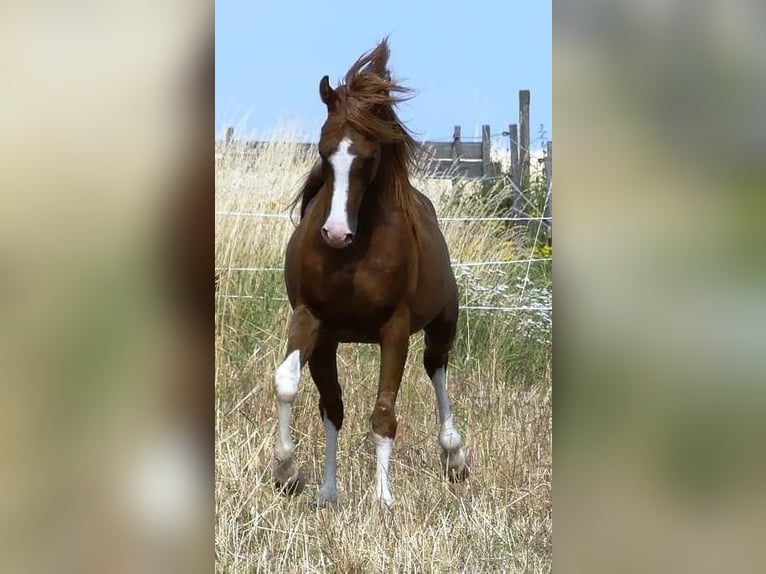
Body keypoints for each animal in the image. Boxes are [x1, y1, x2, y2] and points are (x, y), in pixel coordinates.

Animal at [272, 40, 472, 508]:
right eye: (323, 152)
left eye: (368, 157)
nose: (335, 233)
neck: (352, 255)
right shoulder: (313, 321)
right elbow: (293, 385)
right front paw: (290, 474)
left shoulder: (393, 329)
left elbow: (383, 412)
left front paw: (383, 499)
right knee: (333, 407)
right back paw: (327, 492)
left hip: (443, 323)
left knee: (437, 370)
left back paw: (454, 456)